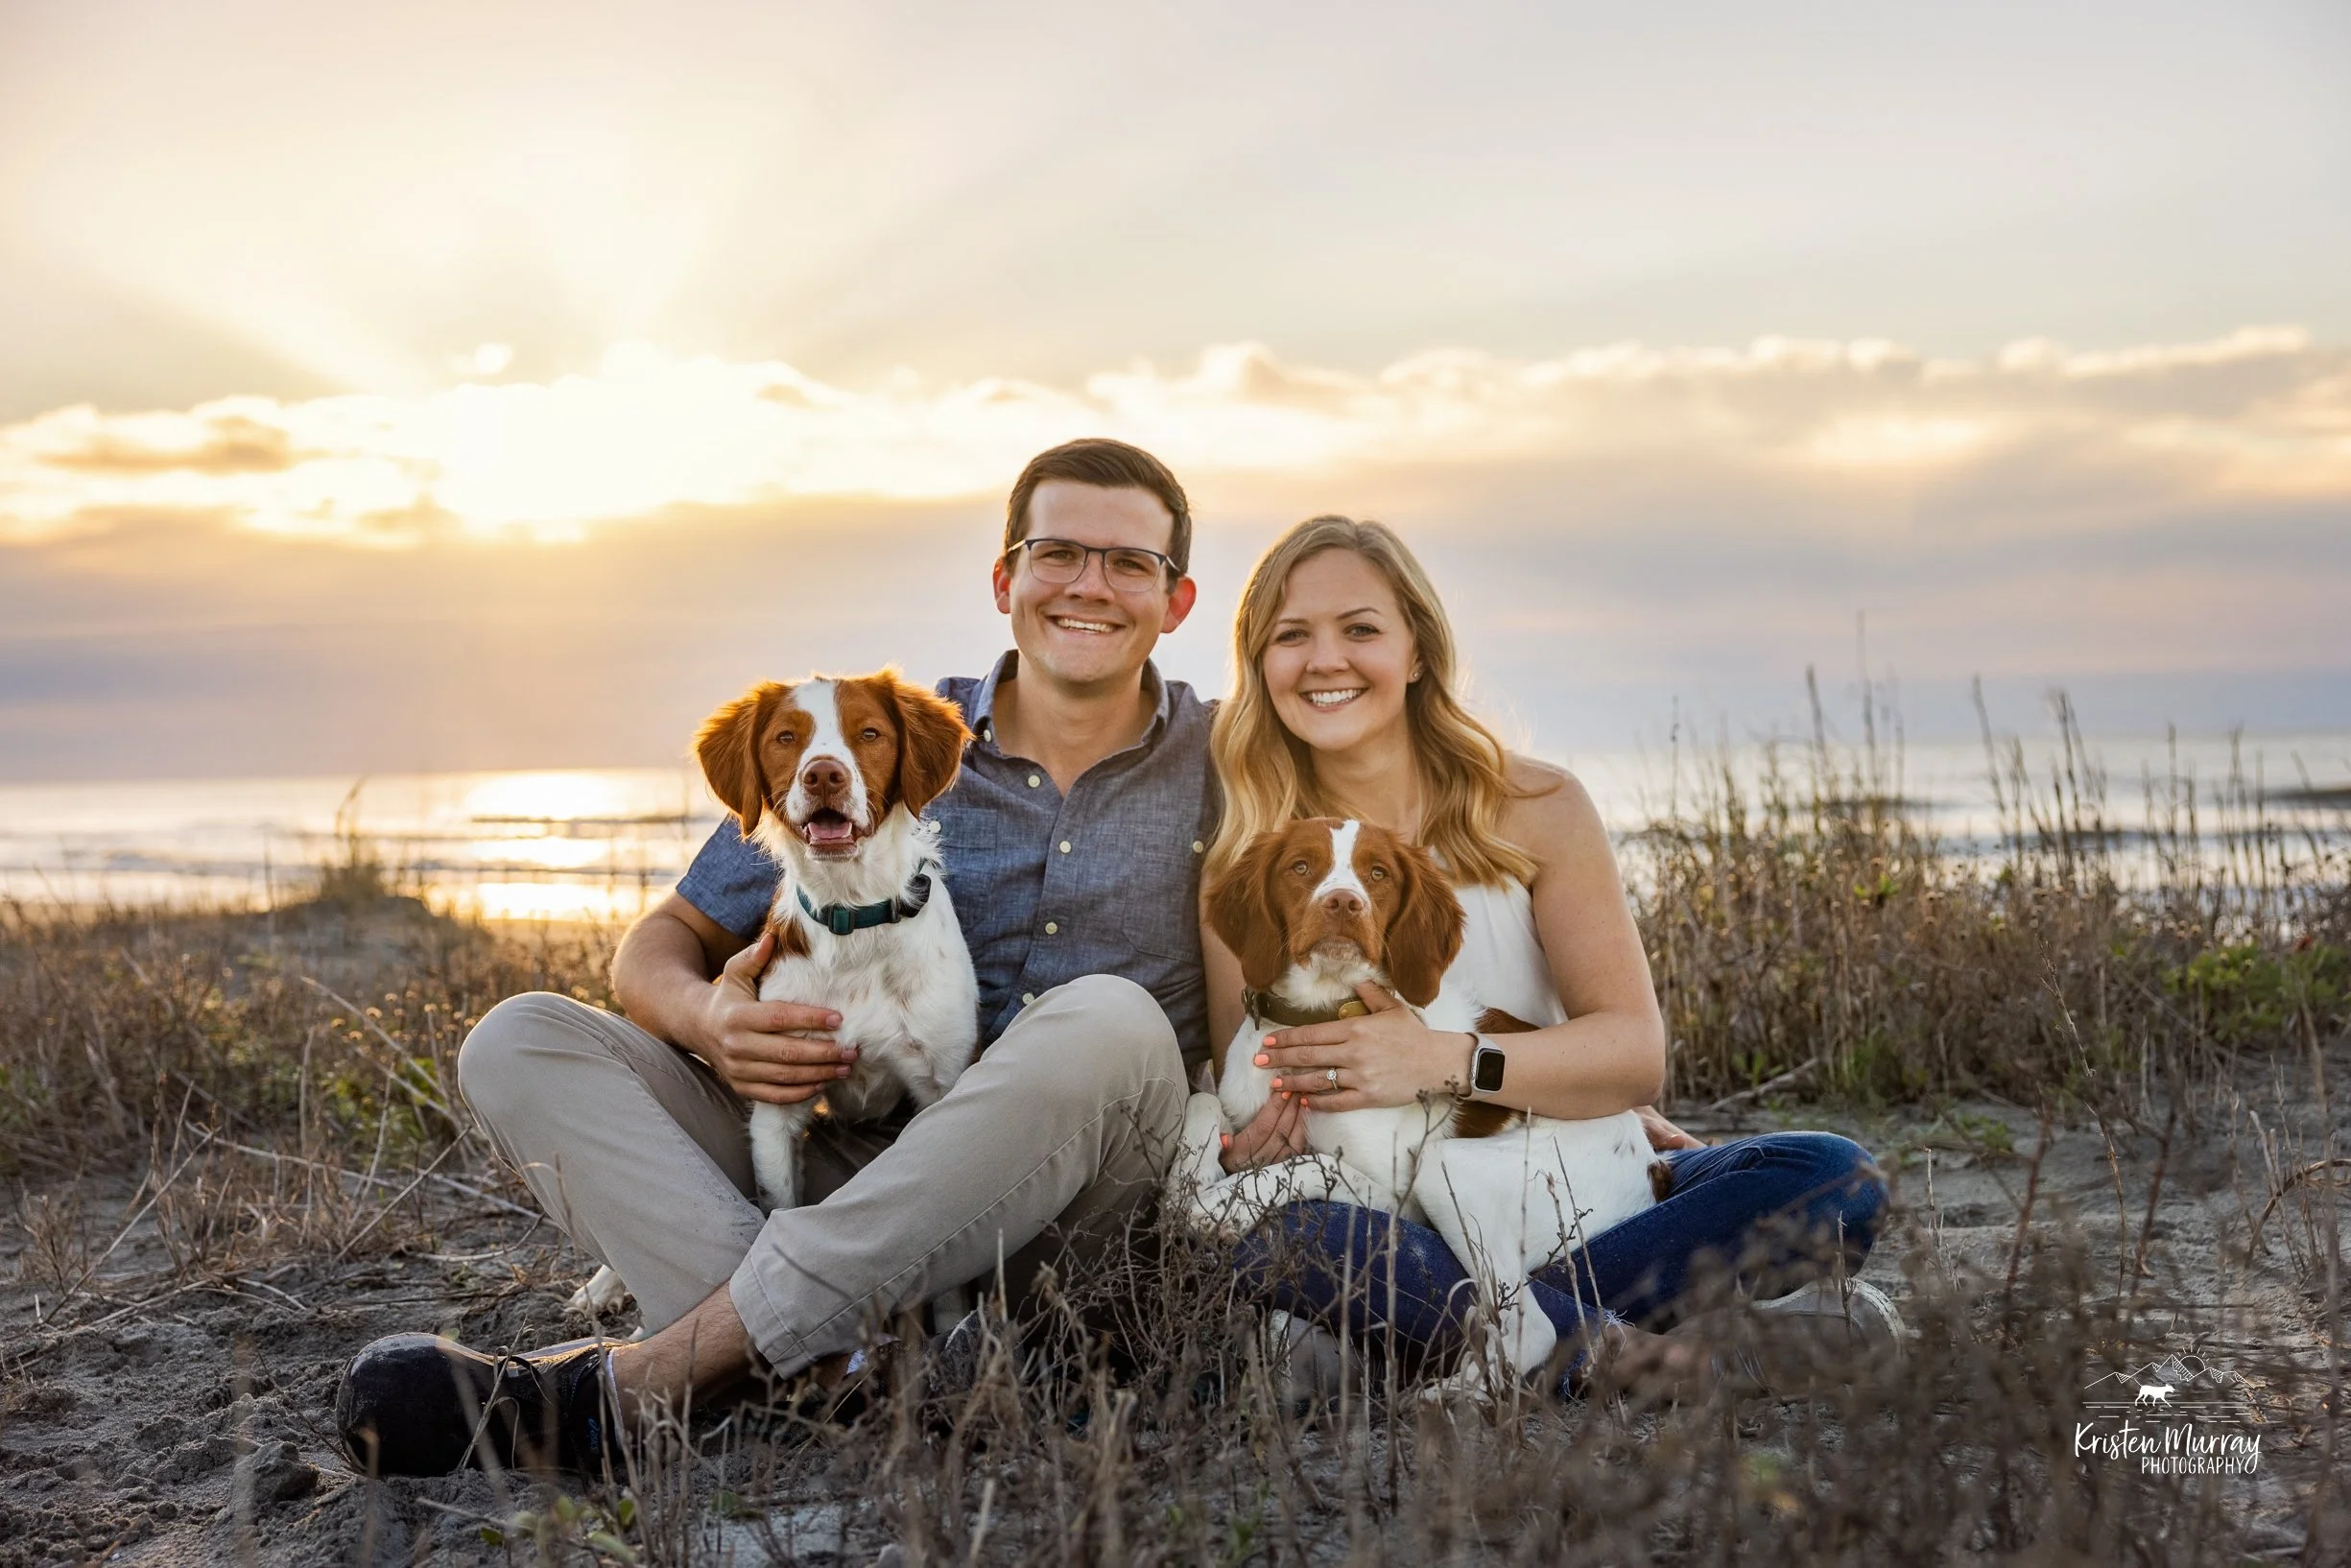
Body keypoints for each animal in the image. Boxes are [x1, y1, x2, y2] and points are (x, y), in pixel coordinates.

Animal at [566, 669, 978, 1323]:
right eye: (787, 737)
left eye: (869, 733)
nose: (824, 775)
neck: (852, 919)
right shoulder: (778, 1105)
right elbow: (779, 1209)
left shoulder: (940, 1085)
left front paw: (957, 1328)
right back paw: (604, 1286)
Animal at [1171, 817, 1669, 1398]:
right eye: (1300, 866)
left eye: (1378, 873)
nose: (1344, 903)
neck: (1322, 1015)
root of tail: (1651, 1164)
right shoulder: (1239, 1108)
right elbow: (1202, 1101)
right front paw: (1186, 1182)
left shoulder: (1401, 1203)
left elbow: (1316, 1160)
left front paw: (1219, 1206)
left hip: (1448, 1167)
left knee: (1534, 1328)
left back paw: (1449, 1401)